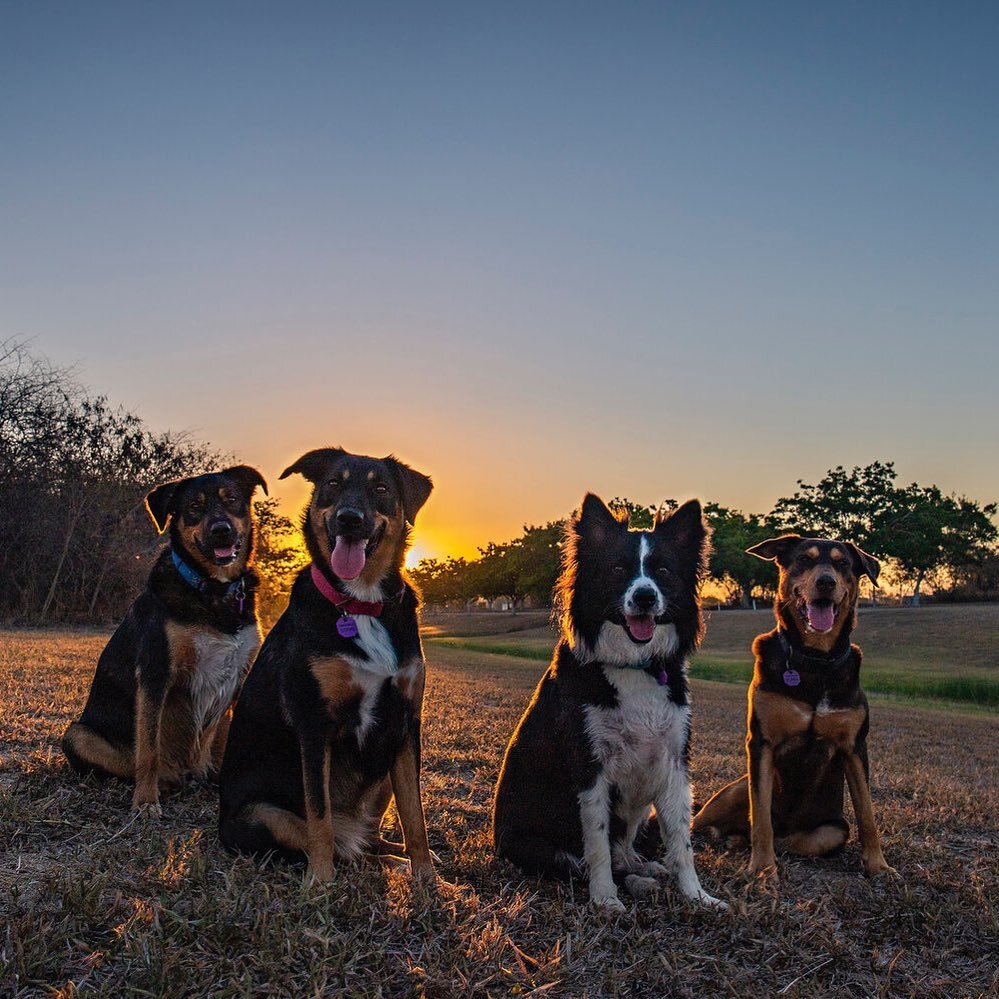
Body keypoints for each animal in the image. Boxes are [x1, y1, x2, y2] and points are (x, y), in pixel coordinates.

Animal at [62, 464, 266, 816]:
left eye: (231, 499)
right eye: (194, 507)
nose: (222, 531)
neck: (212, 589)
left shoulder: (238, 677)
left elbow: (224, 739)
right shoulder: (156, 675)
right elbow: (149, 747)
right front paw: (145, 802)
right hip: (77, 734)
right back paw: (164, 785)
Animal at [217, 448, 436, 884]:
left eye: (380, 488)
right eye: (334, 483)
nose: (349, 518)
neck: (361, 602)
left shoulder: (405, 723)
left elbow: (414, 815)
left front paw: (427, 878)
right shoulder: (315, 724)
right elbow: (319, 816)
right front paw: (320, 882)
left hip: (382, 773)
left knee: (365, 841)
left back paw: (396, 858)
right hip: (263, 816)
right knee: (338, 843)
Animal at [692, 540, 896, 876]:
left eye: (843, 564)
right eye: (804, 559)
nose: (825, 582)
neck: (815, 658)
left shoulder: (854, 746)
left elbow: (866, 812)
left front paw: (878, 865)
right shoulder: (761, 743)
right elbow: (761, 816)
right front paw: (762, 869)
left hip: (832, 831)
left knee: (789, 840)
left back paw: (739, 840)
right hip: (735, 790)